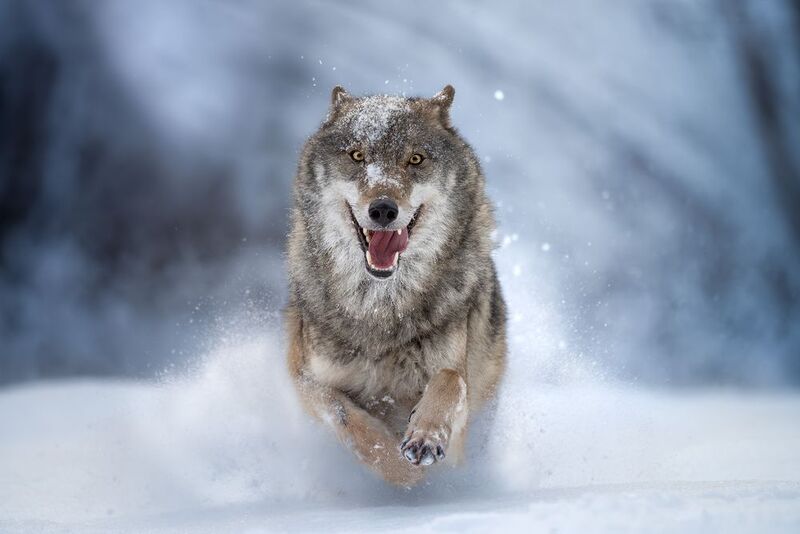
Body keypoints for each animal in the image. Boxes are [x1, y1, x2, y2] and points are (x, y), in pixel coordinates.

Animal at [286, 85, 506, 486]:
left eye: (415, 159)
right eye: (357, 155)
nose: (384, 209)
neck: (378, 307)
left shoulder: (458, 400)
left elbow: (450, 381)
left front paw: (425, 438)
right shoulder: (306, 378)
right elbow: (346, 417)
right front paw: (399, 468)